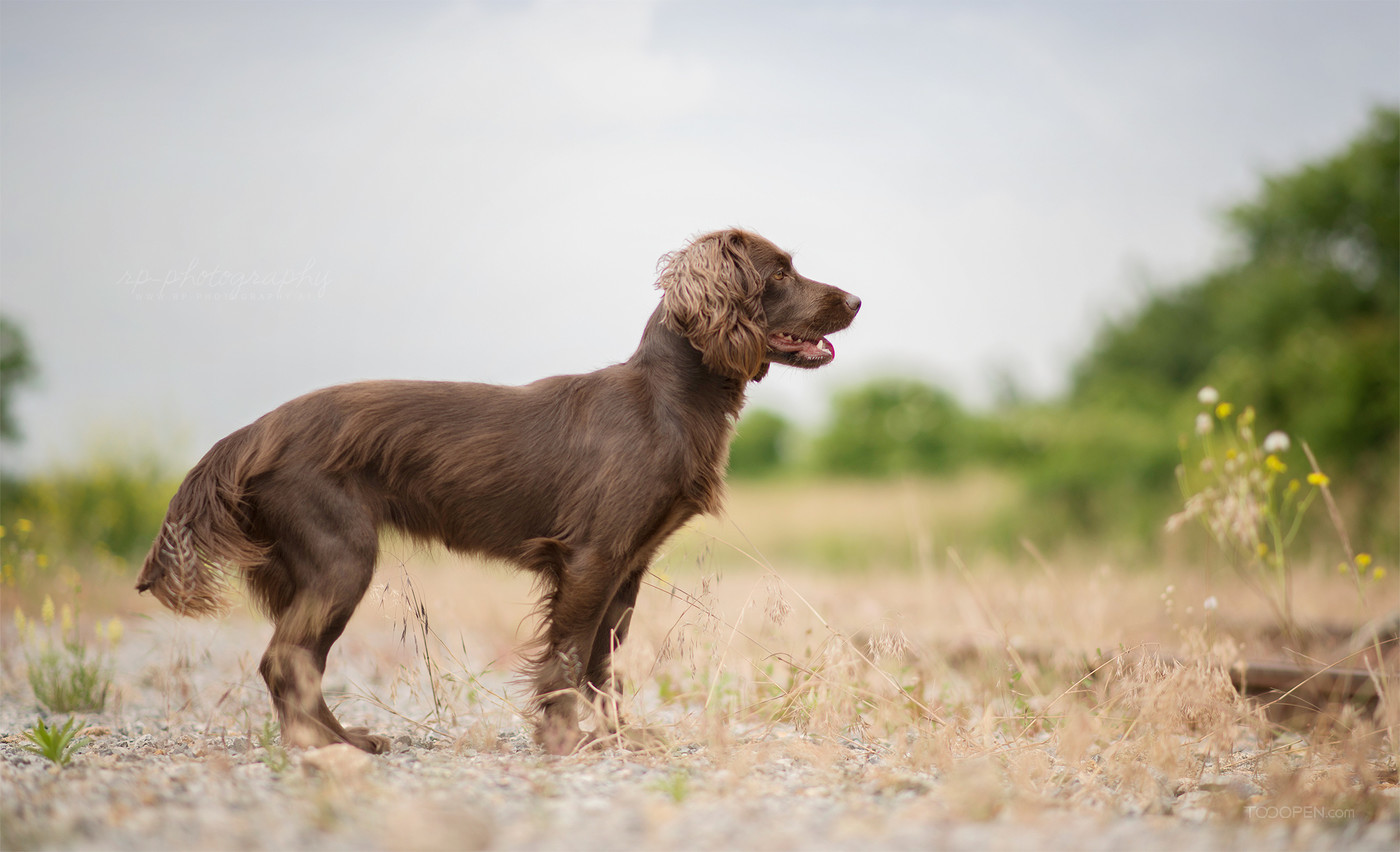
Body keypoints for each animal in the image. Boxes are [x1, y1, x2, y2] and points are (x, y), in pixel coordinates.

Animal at [136, 228, 856, 749]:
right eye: (779, 272)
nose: (856, 301)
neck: (667, 399)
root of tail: (252, 431)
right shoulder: (591, 558)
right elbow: (566, 661)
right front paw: (565, 744)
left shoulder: (629, 567)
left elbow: (605, 669)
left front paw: (621, 738)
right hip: (341, 555)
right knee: (286, 659)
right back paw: (325, 749)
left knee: (296, 660)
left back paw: (342, 739)